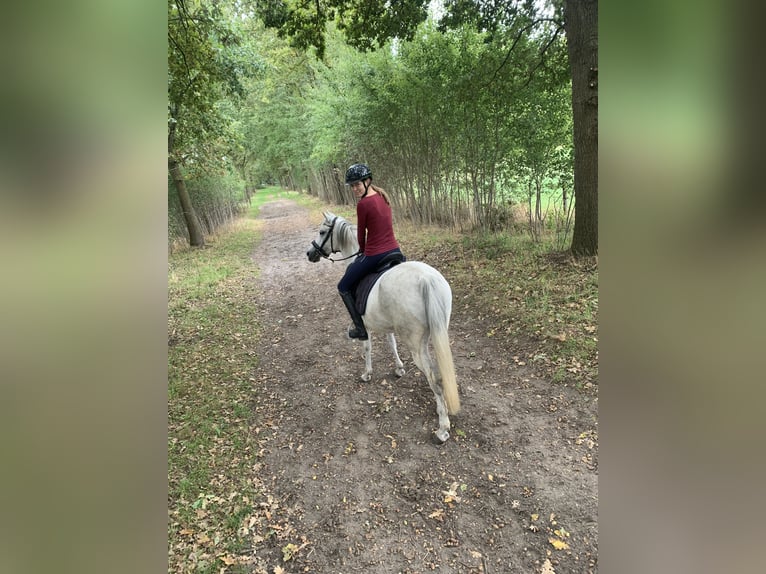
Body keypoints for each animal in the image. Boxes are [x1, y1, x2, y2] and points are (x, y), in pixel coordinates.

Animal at [306, 212, 460, 444]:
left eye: (323, 231)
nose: (310, 253)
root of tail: (426, 279)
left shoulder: (366, 325)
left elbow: (367, 347)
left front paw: (367, 373)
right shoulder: (387, 323)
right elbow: (391, 343)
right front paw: (398, 368)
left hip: (416, 345)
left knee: (433, 376)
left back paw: (442, 428)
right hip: (437, 331)